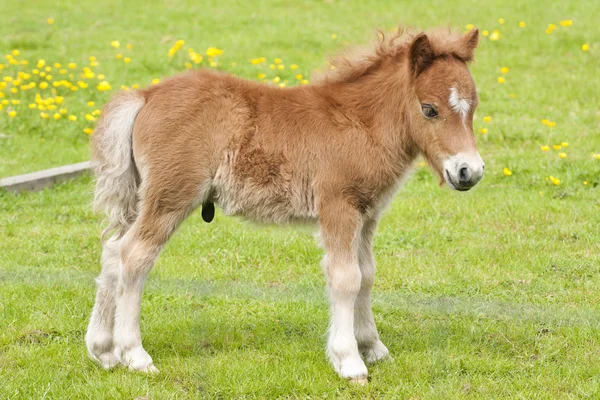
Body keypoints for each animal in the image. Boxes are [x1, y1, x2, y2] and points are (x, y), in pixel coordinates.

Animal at [86, 26, 486, 382]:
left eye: (473, 107)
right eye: (429, 109)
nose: (469, 171)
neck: (360, 124)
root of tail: (146, 95)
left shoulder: (367, 213)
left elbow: (367, 274)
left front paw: (373, 347)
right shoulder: (338, 206)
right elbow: (346, 277)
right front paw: (349, 361)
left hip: (144, 196)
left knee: (113, 252)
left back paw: (103, 350)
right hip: (171, 195)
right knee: (134, 255)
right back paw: (135, 355)